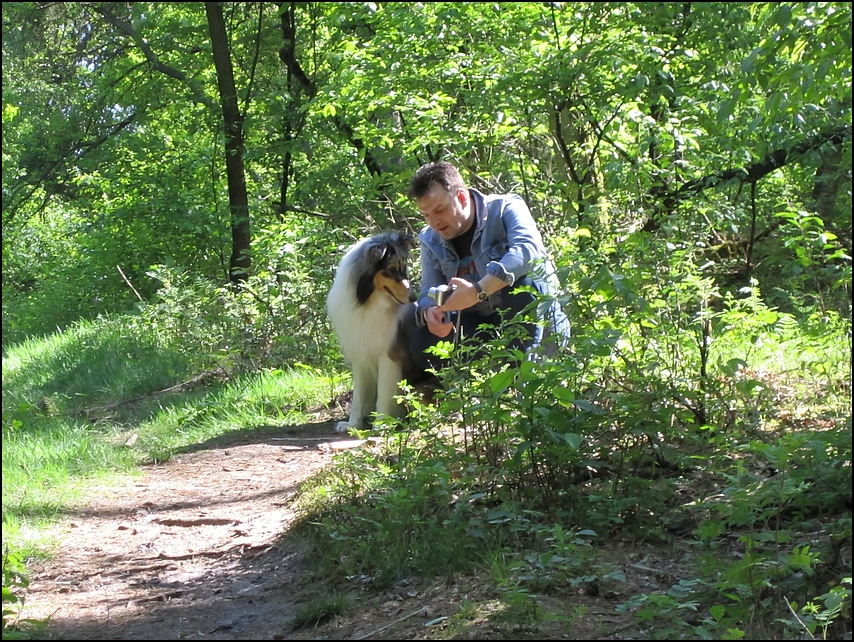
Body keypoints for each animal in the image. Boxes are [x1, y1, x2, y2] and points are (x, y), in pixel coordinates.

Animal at [326, 230, 426, 430]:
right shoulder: (360, 356)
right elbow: (358, 398)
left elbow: (384, 396)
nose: (413, 298)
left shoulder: (388, 357)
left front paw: (381, 425)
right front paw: (352, 425)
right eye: (392, 269)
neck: (367, 303)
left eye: (403, 267)